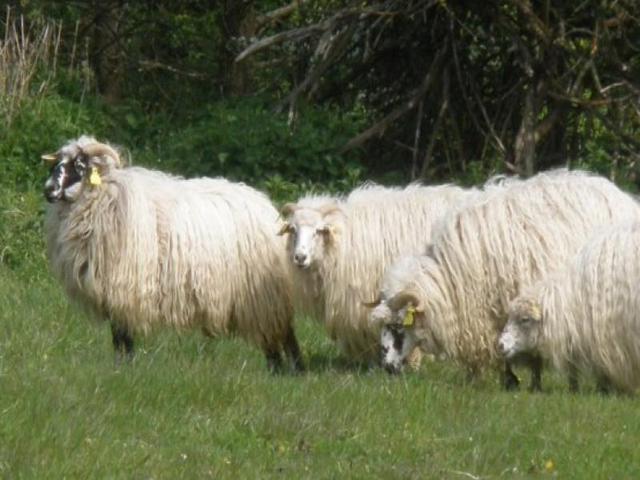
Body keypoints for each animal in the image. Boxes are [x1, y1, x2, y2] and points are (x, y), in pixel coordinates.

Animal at [42, 135, 303, 372]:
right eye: (56, 165)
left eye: (79, 166)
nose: (48, 190)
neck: (102, 199)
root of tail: (266, 208)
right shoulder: (111, 295)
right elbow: (117, 337)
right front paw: (119, 368)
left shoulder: (124, 289)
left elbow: (124, 337)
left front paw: (126, 371)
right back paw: (278, 371)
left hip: (264, 294)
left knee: (281, 332)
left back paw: (290, 371)